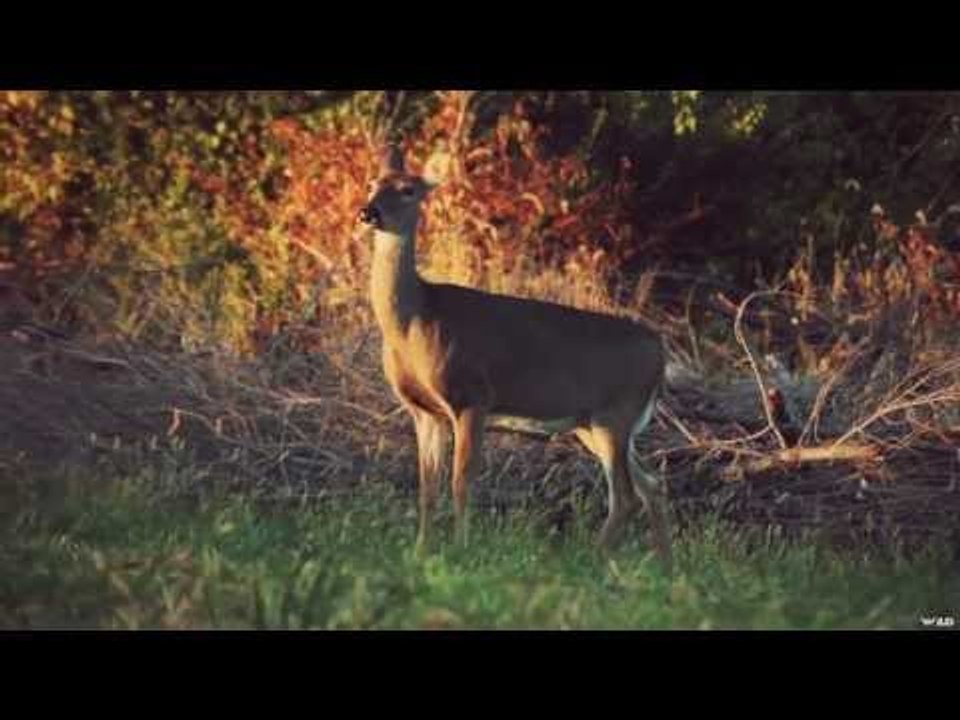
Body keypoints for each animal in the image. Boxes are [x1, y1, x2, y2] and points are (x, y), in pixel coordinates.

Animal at [358, 144, 673, 572]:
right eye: (372, 183)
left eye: (408, 190)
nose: (368, 212)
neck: (416, 321)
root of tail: (661, 350)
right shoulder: (424, 411)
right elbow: (427, 487)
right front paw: (419, 554)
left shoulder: (473, 396)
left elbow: (461, 482)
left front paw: (460, 552)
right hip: (593, 424)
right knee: (652, 485)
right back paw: (663, 567)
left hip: (615, 415)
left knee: (624, 495)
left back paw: (588, 560)